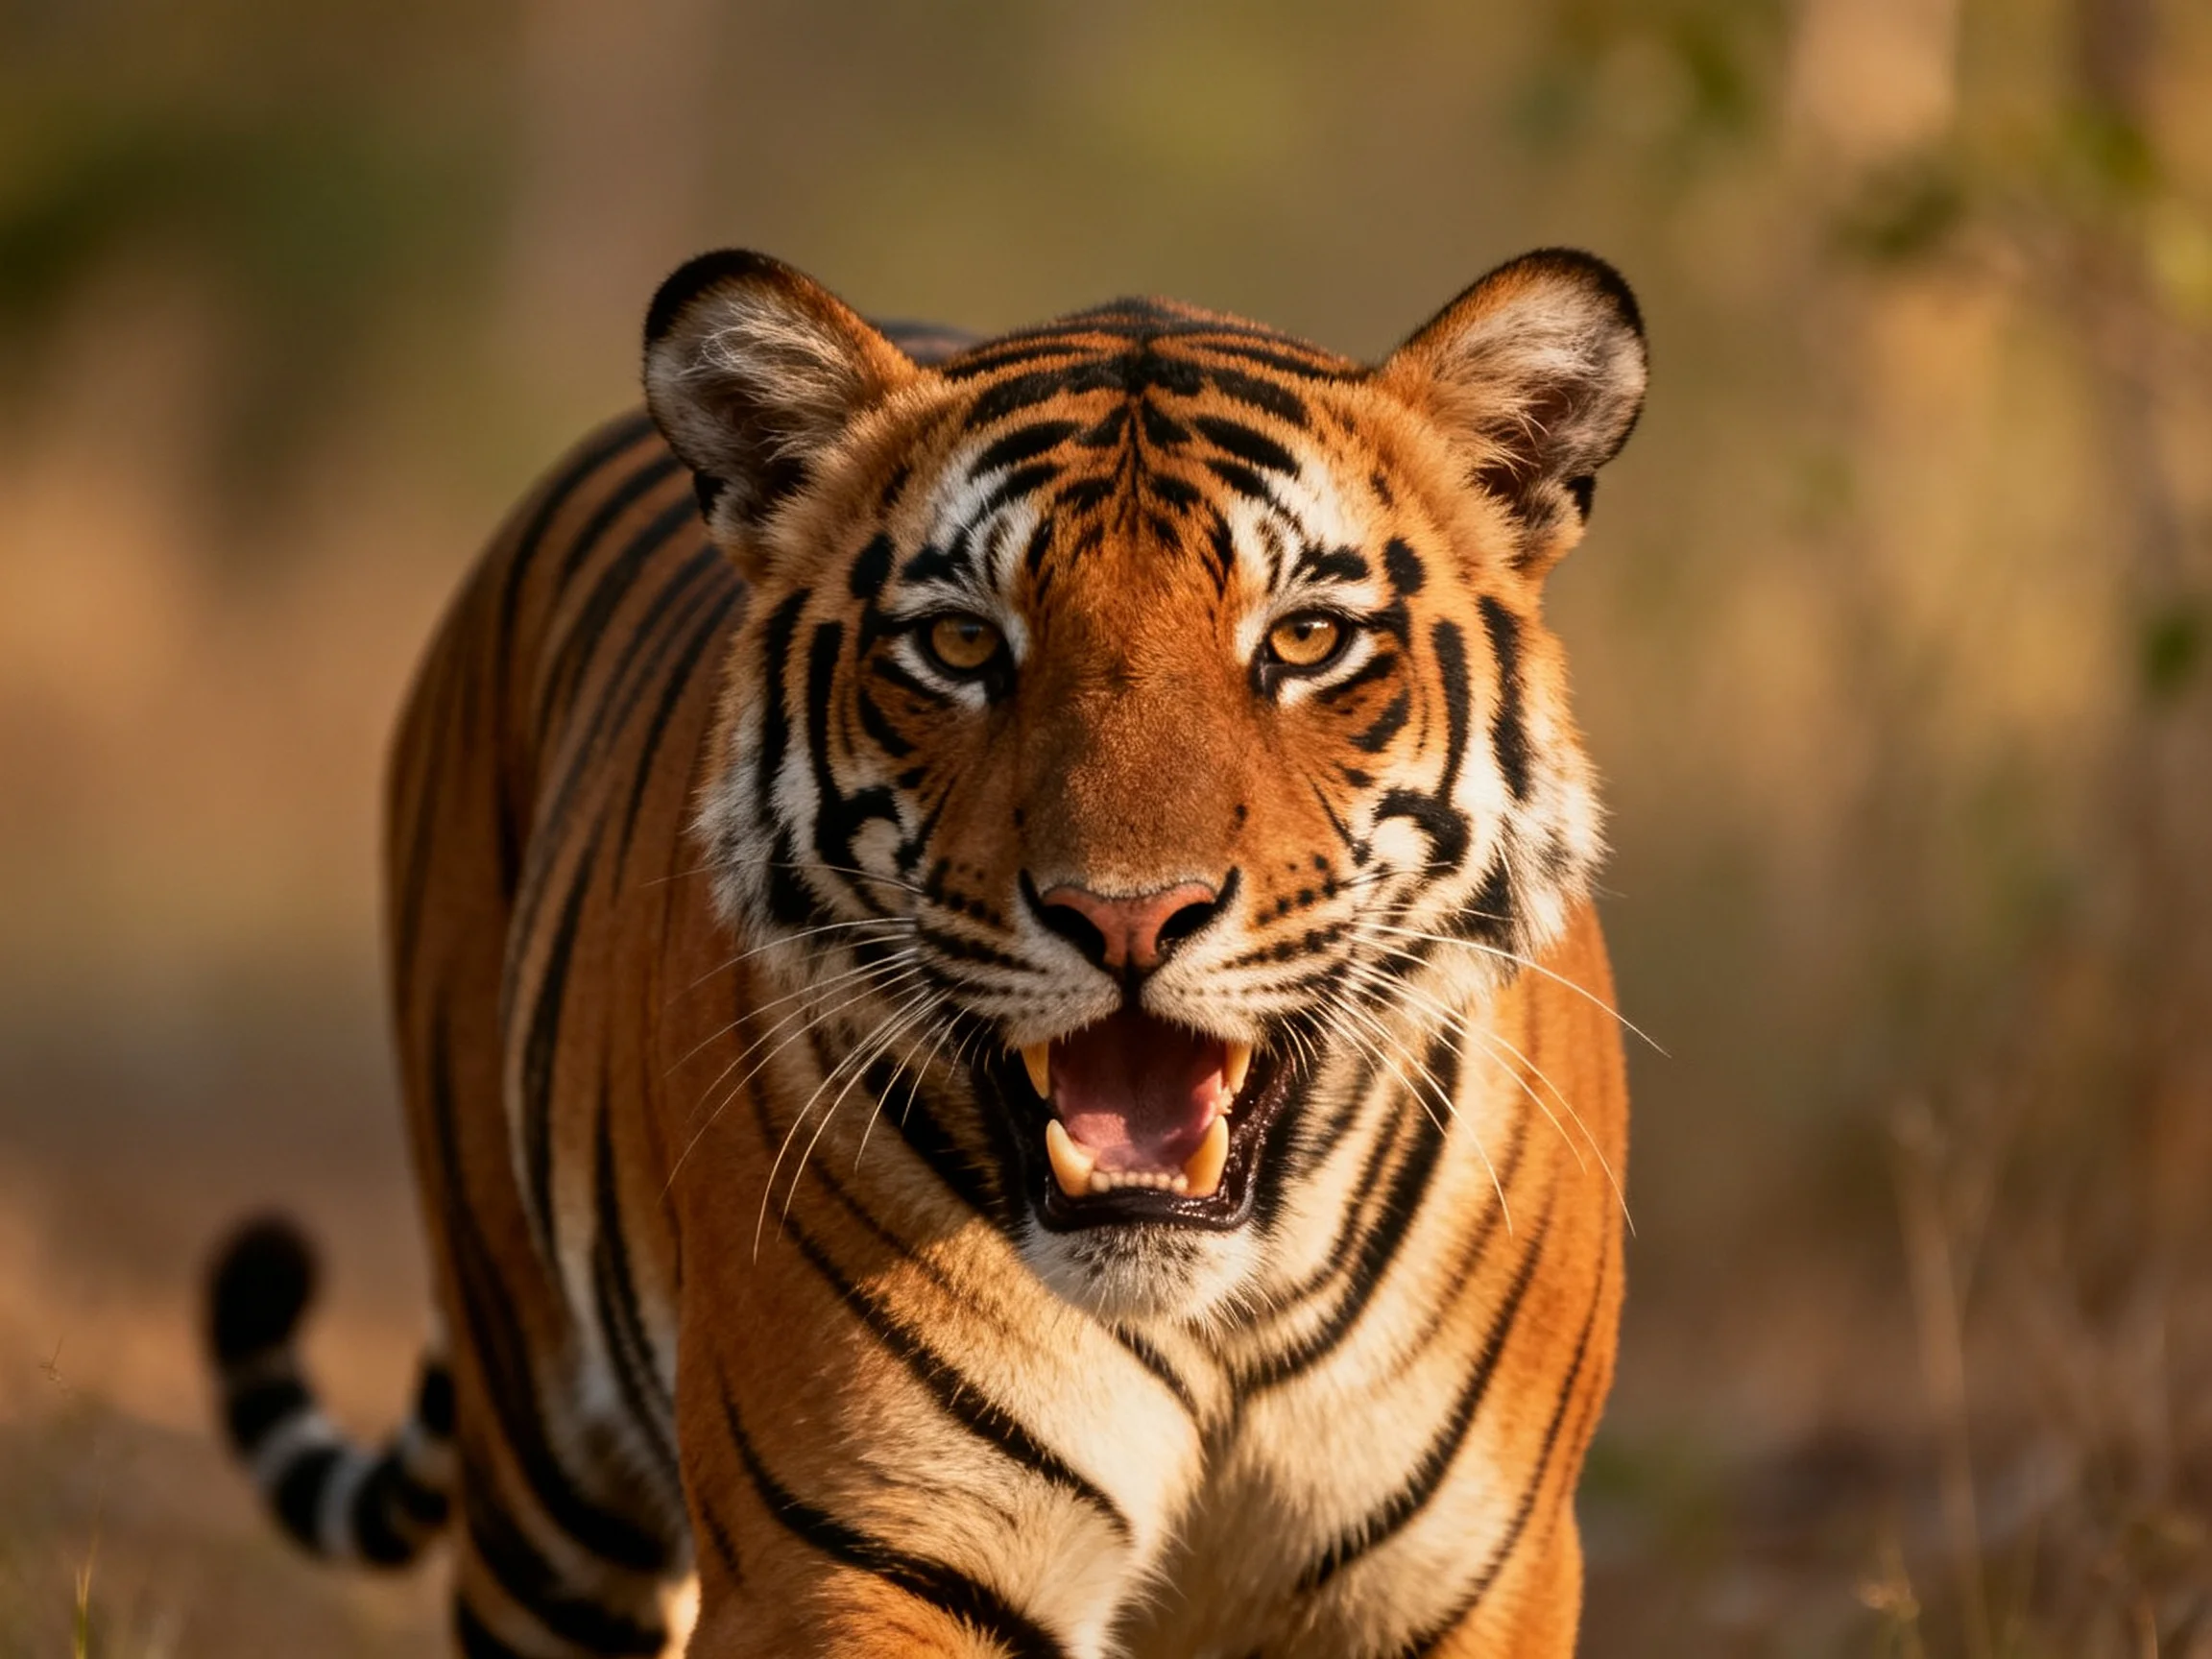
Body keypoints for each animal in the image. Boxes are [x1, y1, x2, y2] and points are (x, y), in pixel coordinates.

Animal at [204, 243, 1646, 1657]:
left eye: (1305, 639)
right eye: (961, 643)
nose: (1129, 915)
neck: (1214, 1309)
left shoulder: (1473, 1580)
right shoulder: (858, 1559)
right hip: (543, 1475)